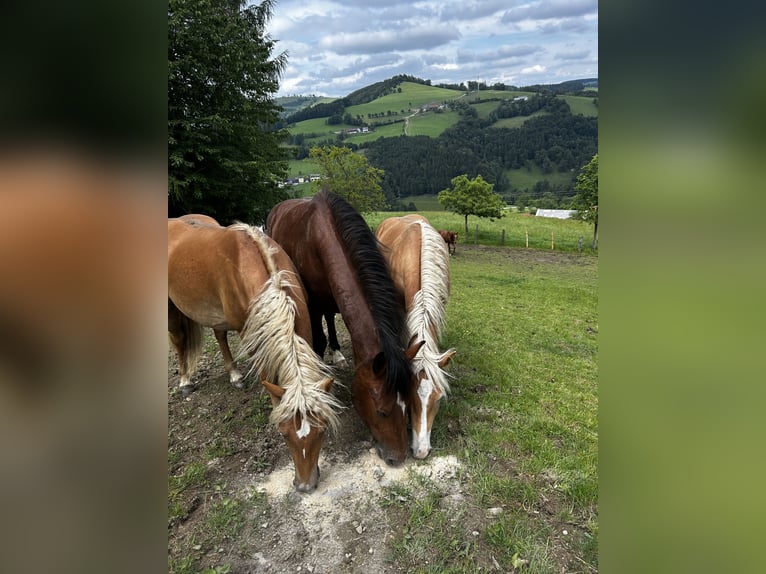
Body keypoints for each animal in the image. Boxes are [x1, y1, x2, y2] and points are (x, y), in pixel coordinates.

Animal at [168, 217, 342, 496]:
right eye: (283, 433)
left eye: (323, 429)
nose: (305, 485)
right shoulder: (249, 333)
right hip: (172, 308)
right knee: (178, 341)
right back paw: (185, 381)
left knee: (219, 336)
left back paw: (235, 375)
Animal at [268, 190, 426, 468]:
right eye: (382, 412)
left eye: (408, 403)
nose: (398, 458)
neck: (320, 236)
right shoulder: (313, 304)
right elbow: (317, 343)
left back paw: (338, 352)